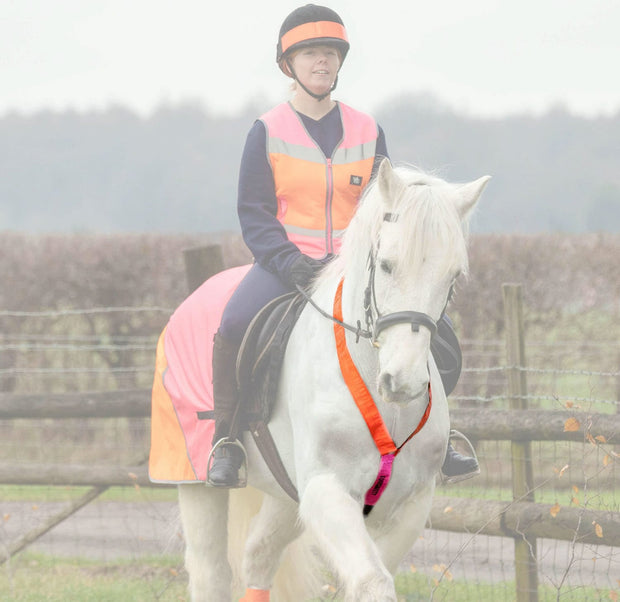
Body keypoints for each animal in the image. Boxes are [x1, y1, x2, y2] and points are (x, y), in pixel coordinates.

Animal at [178, 161, 490, 600]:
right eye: (387, 264)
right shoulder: (327, 490)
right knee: (211, 572)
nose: (403, 382)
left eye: (453, 276)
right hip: (196, 484)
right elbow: (373, 581)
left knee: (259, 556)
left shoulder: (410, 503)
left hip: (286, 495)